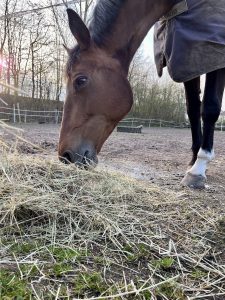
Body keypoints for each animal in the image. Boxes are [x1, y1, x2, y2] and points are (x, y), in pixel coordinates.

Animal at [59, 0, 225, 189]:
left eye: (80, 80)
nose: (65, 156)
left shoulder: (214, 54)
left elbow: (210, 107)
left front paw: (199, 168)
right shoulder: (188, 60)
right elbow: (193, 109)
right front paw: (194, 160)